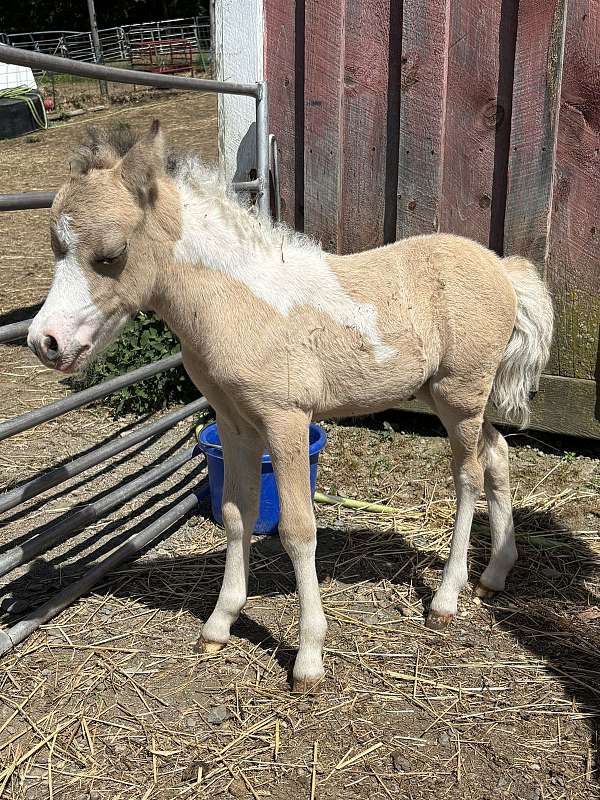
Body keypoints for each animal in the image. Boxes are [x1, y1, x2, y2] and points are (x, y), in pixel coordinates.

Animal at [27, 121, 554, 692]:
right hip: (448, 395)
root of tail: (502, 266)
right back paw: (495, 573)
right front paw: (219, 624)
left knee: (468, 476)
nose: (45, 342)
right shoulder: (234, 423)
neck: (240, 302)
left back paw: (445, 598)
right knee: (497, 453)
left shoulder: (286, 419)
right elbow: (236, 515)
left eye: (110, 254)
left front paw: (308, 658)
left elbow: (298, 530)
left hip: (461, 393)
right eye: (54, 248)